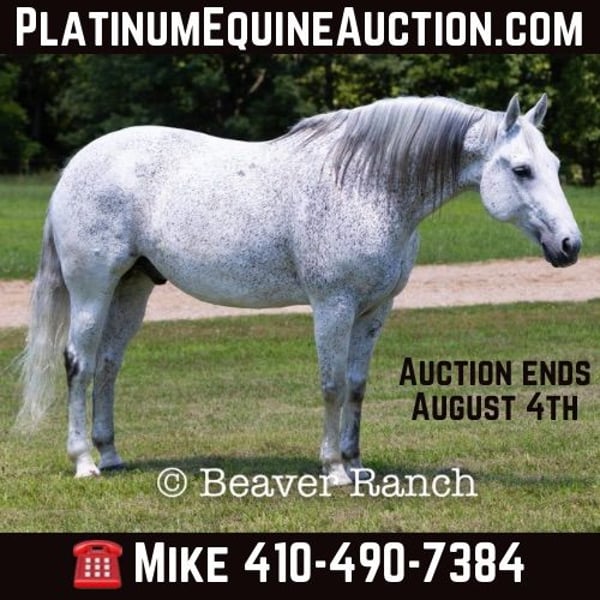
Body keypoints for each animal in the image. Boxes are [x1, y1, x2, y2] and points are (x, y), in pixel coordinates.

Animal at [16, 93, 581, 485]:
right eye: (521, 169)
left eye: (554, 166)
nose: (570, 245)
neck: (367, 186)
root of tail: (77, 164)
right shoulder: (333, 305)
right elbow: (331, 384)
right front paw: (334, 469)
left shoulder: (375, 310)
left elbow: (356, 385)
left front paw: (357, 465)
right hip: (93, 288)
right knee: (79, 363)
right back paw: (84, 462)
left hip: (133, 288)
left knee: (109, 365)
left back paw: (111, 454)